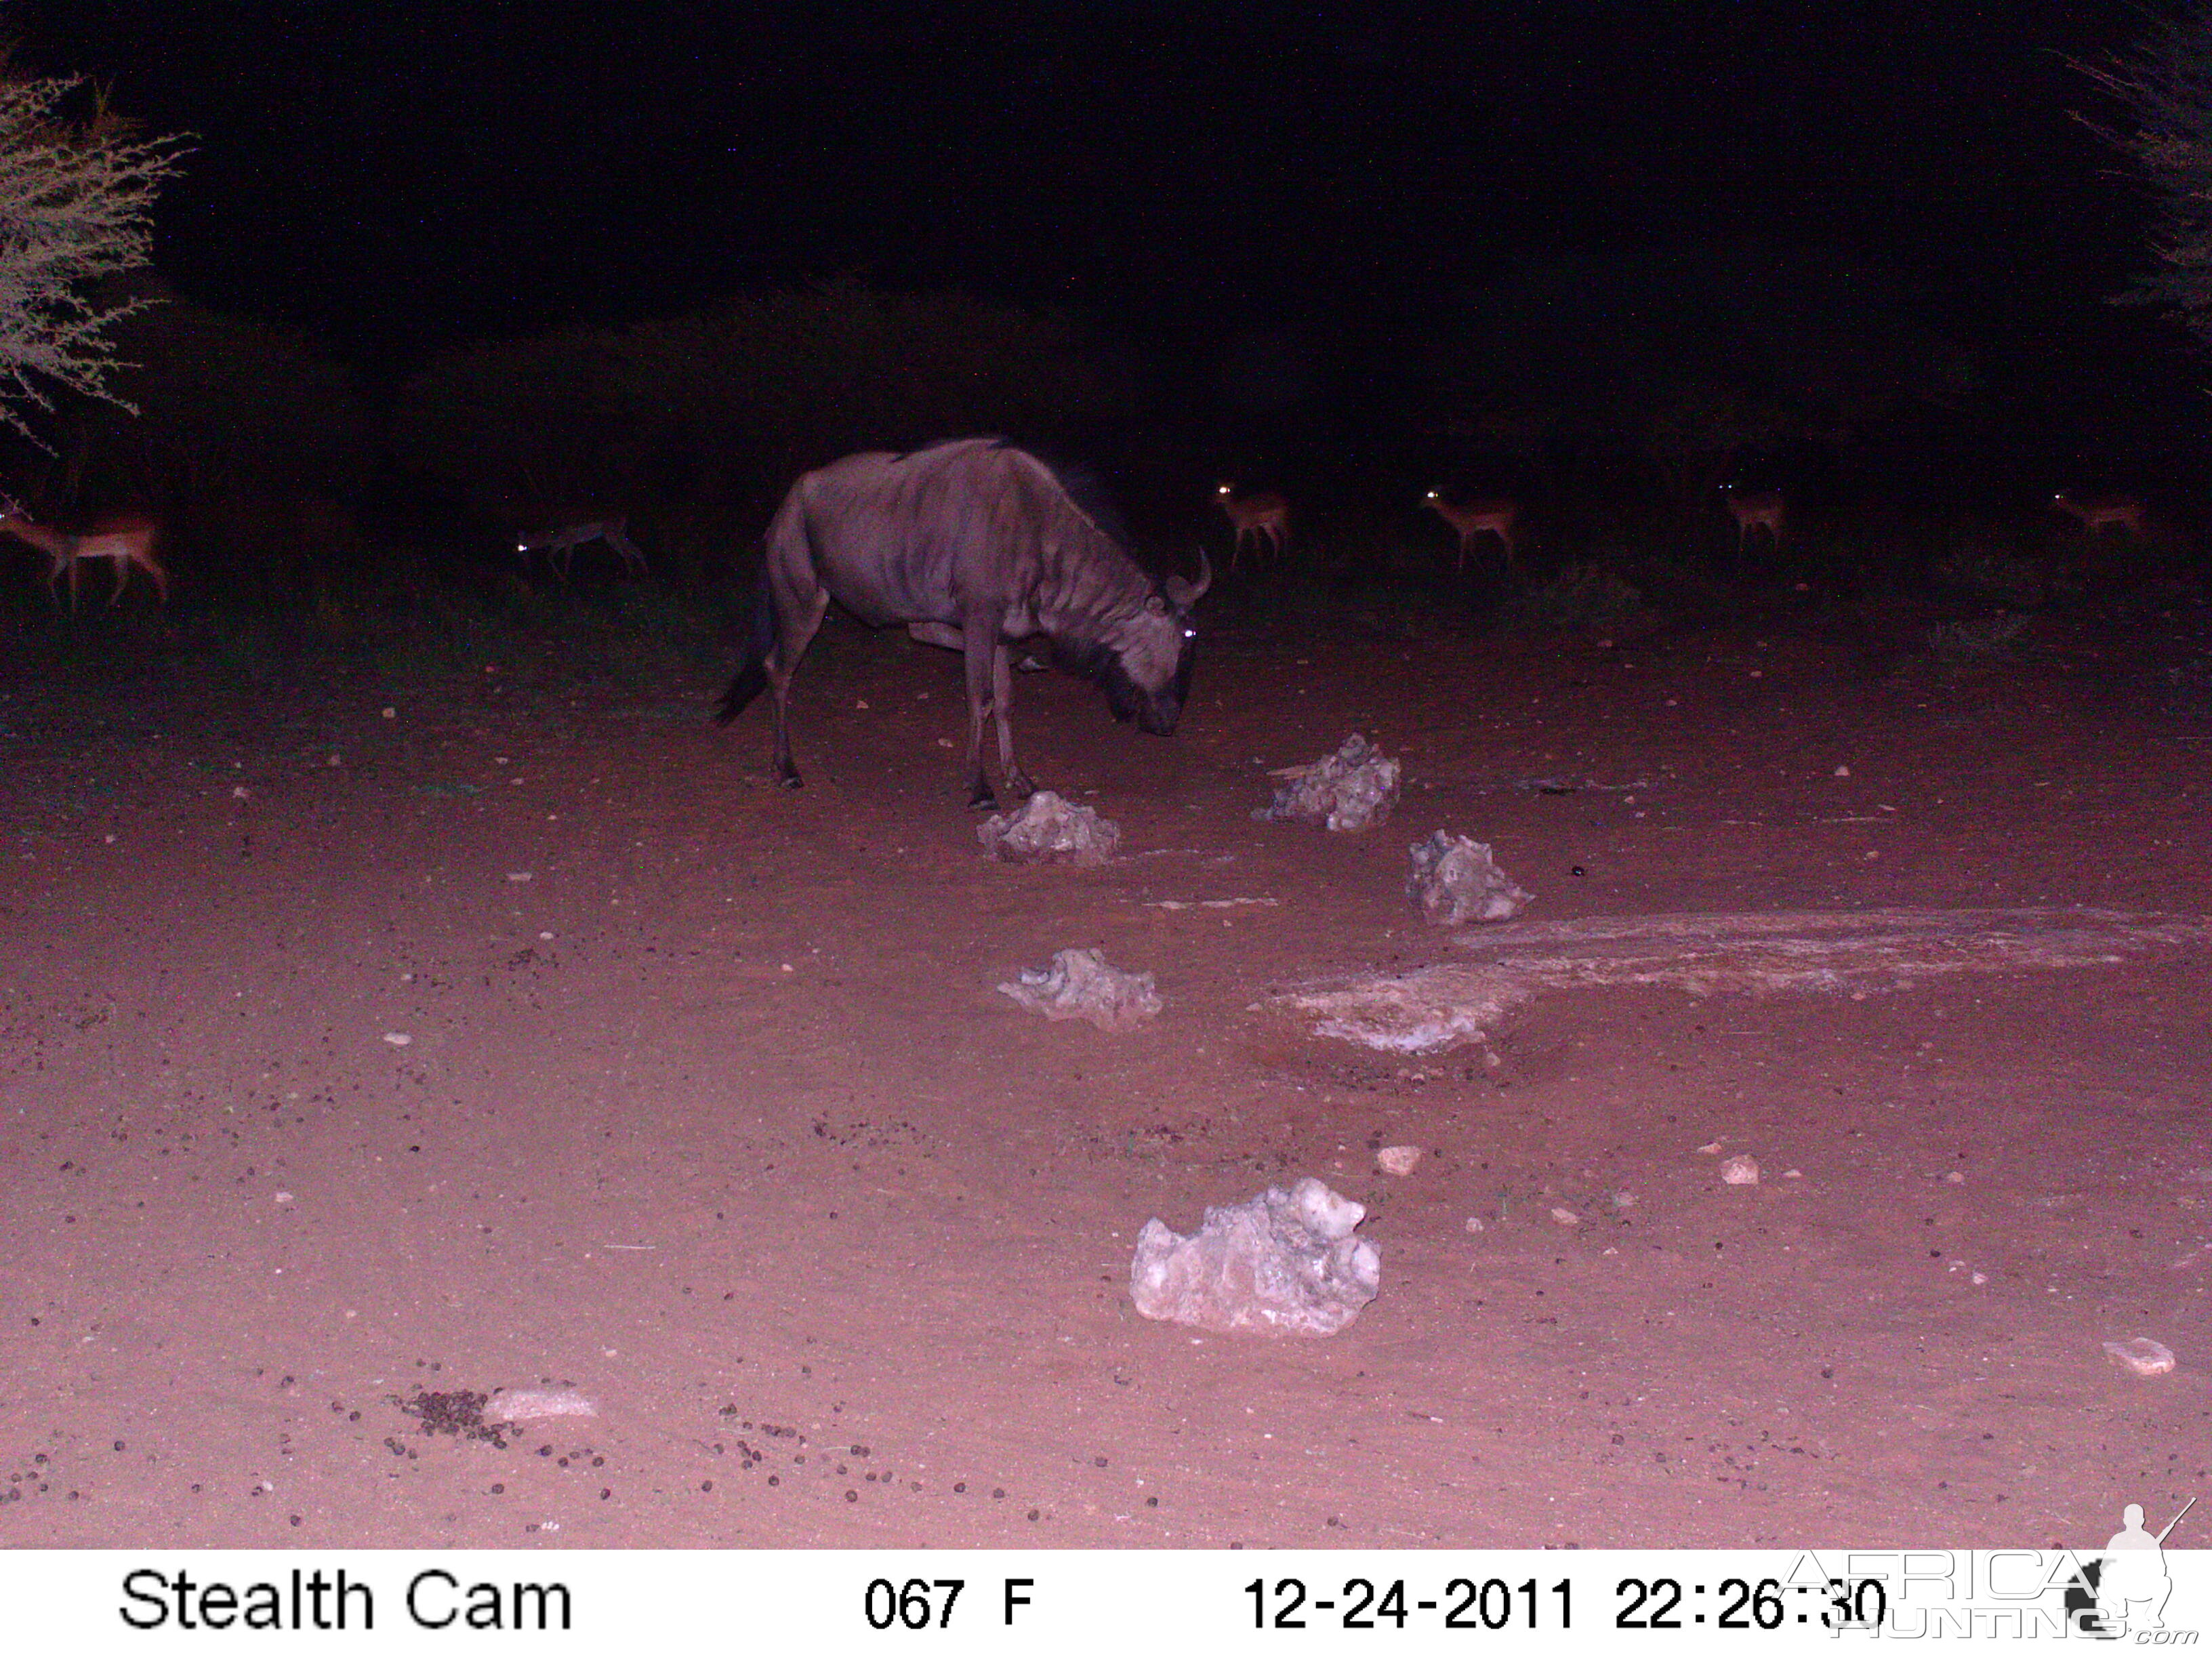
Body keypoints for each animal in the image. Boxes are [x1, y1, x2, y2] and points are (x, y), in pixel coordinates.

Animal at [0, 506, 168, 619]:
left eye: (2, 515)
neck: (50, 540)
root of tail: (153, 527)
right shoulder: (67, 558)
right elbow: (51, 579)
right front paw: (61, 608)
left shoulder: (68, 556)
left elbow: (71, 583)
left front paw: (71, 611)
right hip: (121, 554)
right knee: (124, 579)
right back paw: (107, 607)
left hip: (139, 551)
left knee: (159, 572)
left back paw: (162, 606)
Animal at [1221, 484, 1292, 575]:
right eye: (1219, 489)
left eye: (1225, 490)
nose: (1215, 499)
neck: (1236, 512)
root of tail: (1284, 502)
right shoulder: (1239, 529)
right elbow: (1237, 546)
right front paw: (1232, 568)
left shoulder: (1253, 526)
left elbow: (1257, 545)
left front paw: (1261, 567)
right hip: (1267, 524)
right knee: (1276, 538)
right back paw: (1274, 562)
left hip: (1278, 518)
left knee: (1286, 533)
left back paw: (1286, 557)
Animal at [1415, 491, 1521, 575]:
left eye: (1430, 496)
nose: (1420, 505)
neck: (1455, 516)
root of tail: (1515, 508)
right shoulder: (1463, 532)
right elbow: (1462, 549)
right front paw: (1459, 571)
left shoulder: (1471, 529)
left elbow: (1471, 548)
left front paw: (1483, 569)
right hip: (1504, 527)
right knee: (1509, 542)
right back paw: (1505, 567)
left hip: (1500, 526)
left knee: (1510, 542)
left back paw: (1509, 570)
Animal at [2043, 491, 2150, 541]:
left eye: (2055, 497)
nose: (2048, 506)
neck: (2080, 510)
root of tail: (2142, 507)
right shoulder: (2096, 522)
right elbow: (2096, 535)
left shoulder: (2089, 521)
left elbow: (2086, 534)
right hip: (2128, 519)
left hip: (2130, 518)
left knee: (2138, 531)